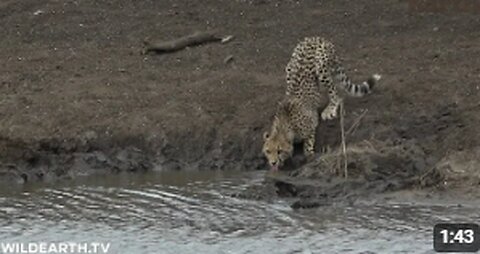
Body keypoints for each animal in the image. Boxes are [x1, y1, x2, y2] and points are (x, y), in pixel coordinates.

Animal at [262, 36, 382, 171]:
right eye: (268, 151)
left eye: (279, 151)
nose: (273, 162)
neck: (284, 125)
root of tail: (315, 37)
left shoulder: (311, 125)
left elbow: (308, 145)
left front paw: (308, 154)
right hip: (289, 66)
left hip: (321, 67)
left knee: (336, 94)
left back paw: (330, 109)